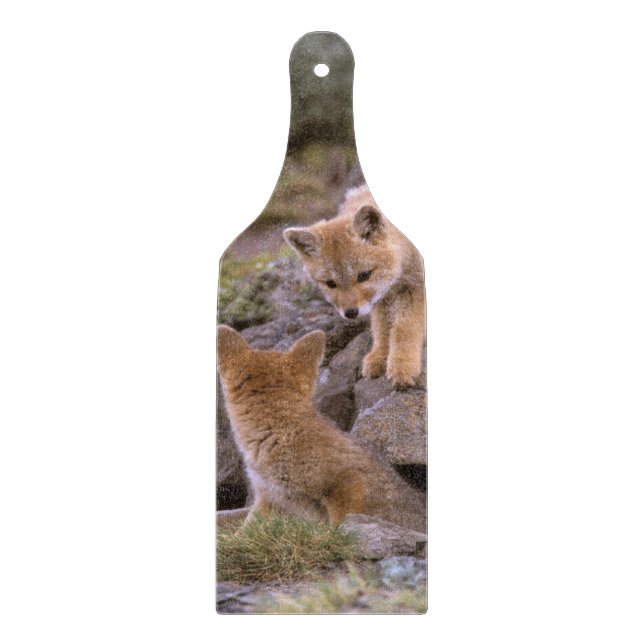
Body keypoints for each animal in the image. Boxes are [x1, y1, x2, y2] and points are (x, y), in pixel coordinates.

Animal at [283, 184, 425, 387]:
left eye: (364, 275)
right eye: (330, 283)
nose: (350, 313)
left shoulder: (416, 287)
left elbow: (404, 327)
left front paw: (403, 365)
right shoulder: (383, 296)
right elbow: (382, 328)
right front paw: (379, 356)